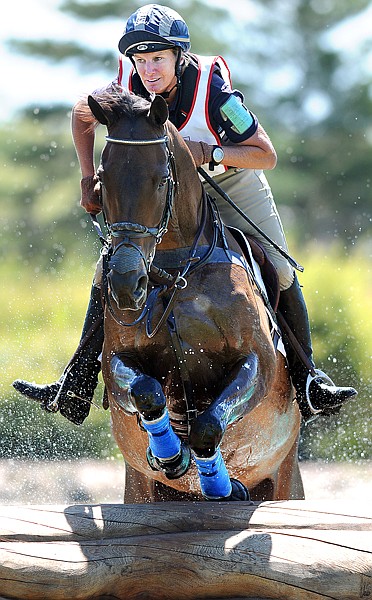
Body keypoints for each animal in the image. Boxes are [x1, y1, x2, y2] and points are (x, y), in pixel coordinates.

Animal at [87, 89, 306, 502]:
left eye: (161, 180)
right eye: (102, 179)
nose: (126, 284)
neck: (176, 270)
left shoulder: (260, 362)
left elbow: (207, 425)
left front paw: (217, 481)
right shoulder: (116, 361)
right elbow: (146, 390)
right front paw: (170, 454)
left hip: (286, 478)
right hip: (138, 488)